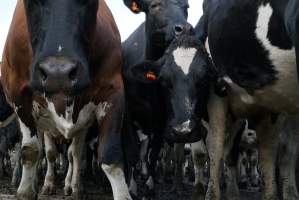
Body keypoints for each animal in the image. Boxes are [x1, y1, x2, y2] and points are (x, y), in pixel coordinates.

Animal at [0, 0, 131, 199]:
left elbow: (111, 156)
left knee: (74, 154)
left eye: (90, 2)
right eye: (30, 2)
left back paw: (74, 187)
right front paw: (27, 190)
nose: (58, 73)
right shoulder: (18, 96)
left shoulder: (113, 92)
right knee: (49, 153)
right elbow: (32, 151)